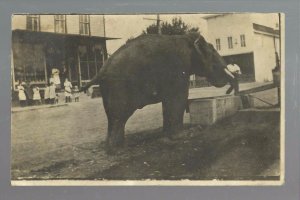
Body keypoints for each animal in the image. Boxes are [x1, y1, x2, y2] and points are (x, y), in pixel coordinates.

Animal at [82, 33, 237, 151]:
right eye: (213, 56)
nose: (230, 91)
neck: (186, 39)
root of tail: (101, 70)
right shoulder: (178, 70)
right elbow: (179, 99)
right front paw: (188, 134)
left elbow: (169, 103)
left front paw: (166, 136)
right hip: (118, 87)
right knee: (119, 117)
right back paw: (118, 150)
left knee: (113, 117)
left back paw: (116, 146)